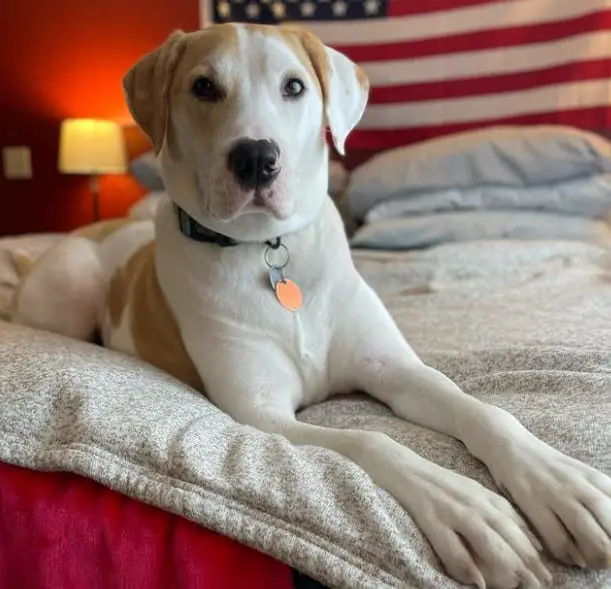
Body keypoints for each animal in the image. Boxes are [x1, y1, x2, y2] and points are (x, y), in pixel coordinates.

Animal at [10, 24, 611, 588]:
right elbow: (369, 440)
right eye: (203, 87)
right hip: (69, 286)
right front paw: (464, 507)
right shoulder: (262, 413)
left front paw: (561, 485)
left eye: (294, 86)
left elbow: (483, 410)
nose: (256, 158)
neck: (268, 249)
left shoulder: (395, 369)